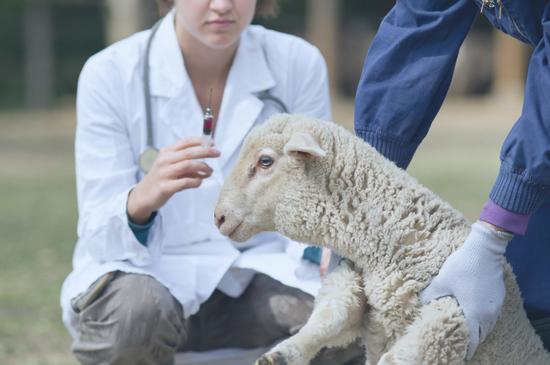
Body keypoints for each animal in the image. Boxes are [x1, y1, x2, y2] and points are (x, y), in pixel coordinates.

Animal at [215, 114, 550, 364]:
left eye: (265, 161)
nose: (218, 216)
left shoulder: (453, 316)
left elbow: (399, 356)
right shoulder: (357, 289)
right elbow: (329, 318)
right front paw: (283, 353)